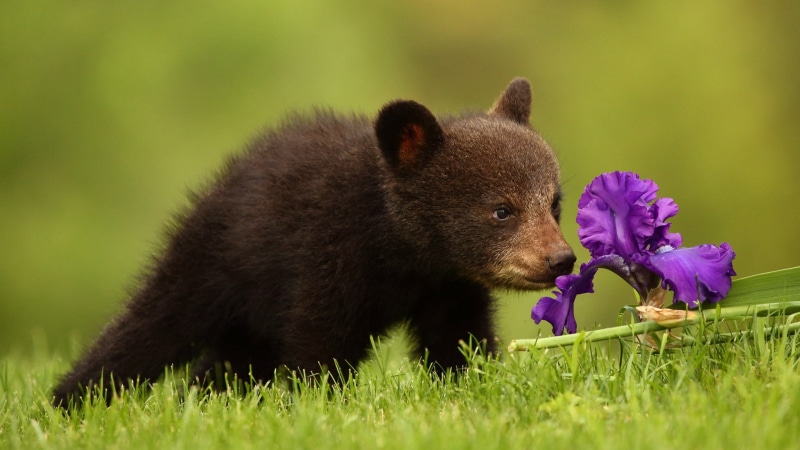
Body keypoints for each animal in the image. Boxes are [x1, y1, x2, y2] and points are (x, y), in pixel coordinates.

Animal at [52, 78, 576, 407]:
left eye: (554, 203)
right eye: (501, 209)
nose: (560, 258)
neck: (402, 252)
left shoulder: (448, 287)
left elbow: (458, 341)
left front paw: (471, 382)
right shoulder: (326, 254)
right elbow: (319, 344)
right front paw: (320, 404)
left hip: (251, 319)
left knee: (224, 365)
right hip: (212, 262)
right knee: (149, 327)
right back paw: (70, 400)